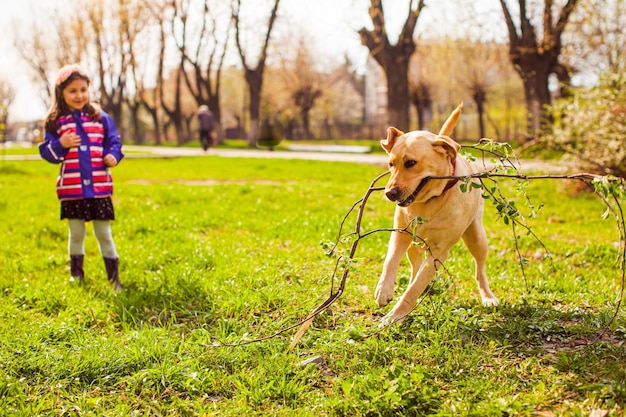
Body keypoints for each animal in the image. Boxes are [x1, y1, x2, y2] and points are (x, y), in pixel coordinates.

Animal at [376, 104, 498, 324]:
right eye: (391, 164)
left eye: (411, 163)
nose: (389, 193)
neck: (430, 200)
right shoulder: (400, 233)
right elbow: (390, 261)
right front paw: (384, 291)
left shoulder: (440, 251)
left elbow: (413, 290)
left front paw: (393, 317)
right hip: (414, 244)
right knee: (415, 266)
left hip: (476, 237)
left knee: (480, 269)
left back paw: (488, 297)